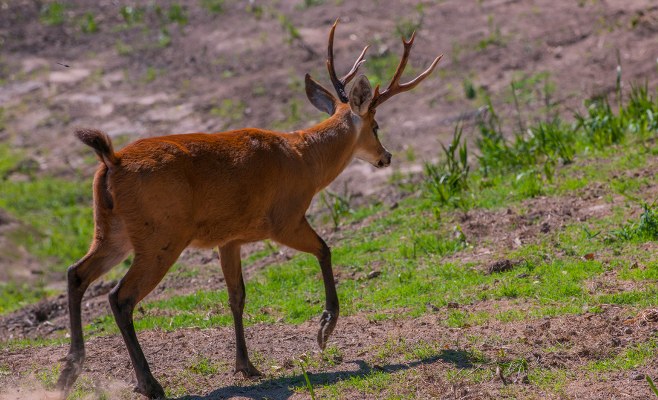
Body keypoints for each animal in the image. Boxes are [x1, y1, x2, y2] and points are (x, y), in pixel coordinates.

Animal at [56, 19, 441, 399]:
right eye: (376, 125)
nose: (386, 156)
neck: (306, 161)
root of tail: (112, 161)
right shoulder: (284, 219)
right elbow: (325, 249)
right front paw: (324, 328)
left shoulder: (231, 238)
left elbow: (236, 295)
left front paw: (246, 365)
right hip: (161, 237)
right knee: (120, 297)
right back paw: (149, 384)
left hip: (112, 230)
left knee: (76, 272)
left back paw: (68, 373)